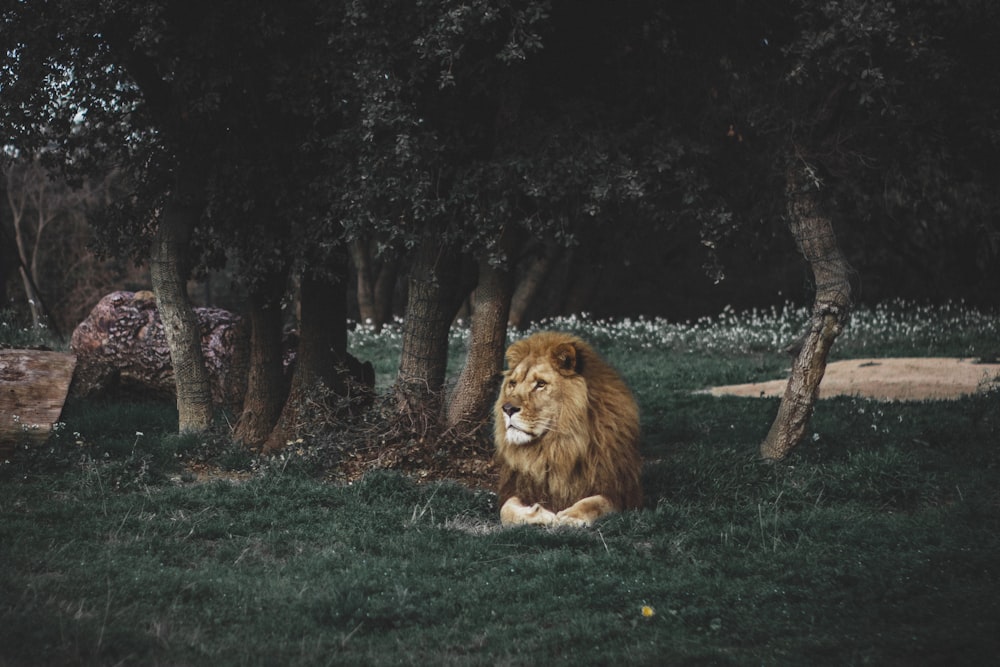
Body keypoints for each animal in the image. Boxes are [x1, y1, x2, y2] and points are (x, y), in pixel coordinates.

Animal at [496, 332, 644, 528]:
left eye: (540, 384)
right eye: (512, 383)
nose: (507, 409)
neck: (556, 446)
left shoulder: (619, 491)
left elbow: (595, 502)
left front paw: (571, 516)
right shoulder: (517, 487)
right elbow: (506, 510)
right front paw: (539, 514)